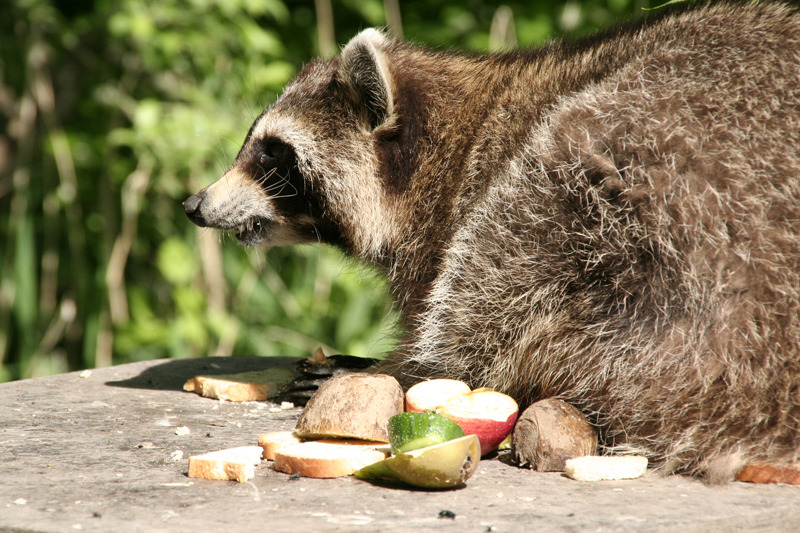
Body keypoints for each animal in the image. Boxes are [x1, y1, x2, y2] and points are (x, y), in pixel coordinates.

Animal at [184, 2, 800, 480]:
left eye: (271, 153)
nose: (193, 204)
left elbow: (488, 277)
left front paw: (404, 366)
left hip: (676, 165)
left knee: (511, 242)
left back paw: (418, 367)